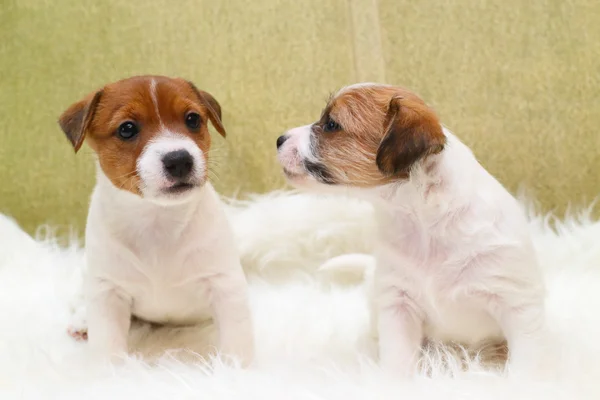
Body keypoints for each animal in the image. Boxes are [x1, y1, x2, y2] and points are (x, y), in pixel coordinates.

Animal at [56, 75, 253, 366]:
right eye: (127, 129)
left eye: (192, 119)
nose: (179, 159)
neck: (158, 219)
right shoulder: (108, 292)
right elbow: (107, 345)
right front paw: (108, 371)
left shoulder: (225, 285)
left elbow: (237, 340)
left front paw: (236, 369)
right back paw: (82, 320)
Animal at [276, 83, 548, 376]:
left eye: (331, 125)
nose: (279, 139)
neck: (424, 226)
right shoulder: (398, 304)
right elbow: (397, 359)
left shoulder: (518, 306)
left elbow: (527, 364)